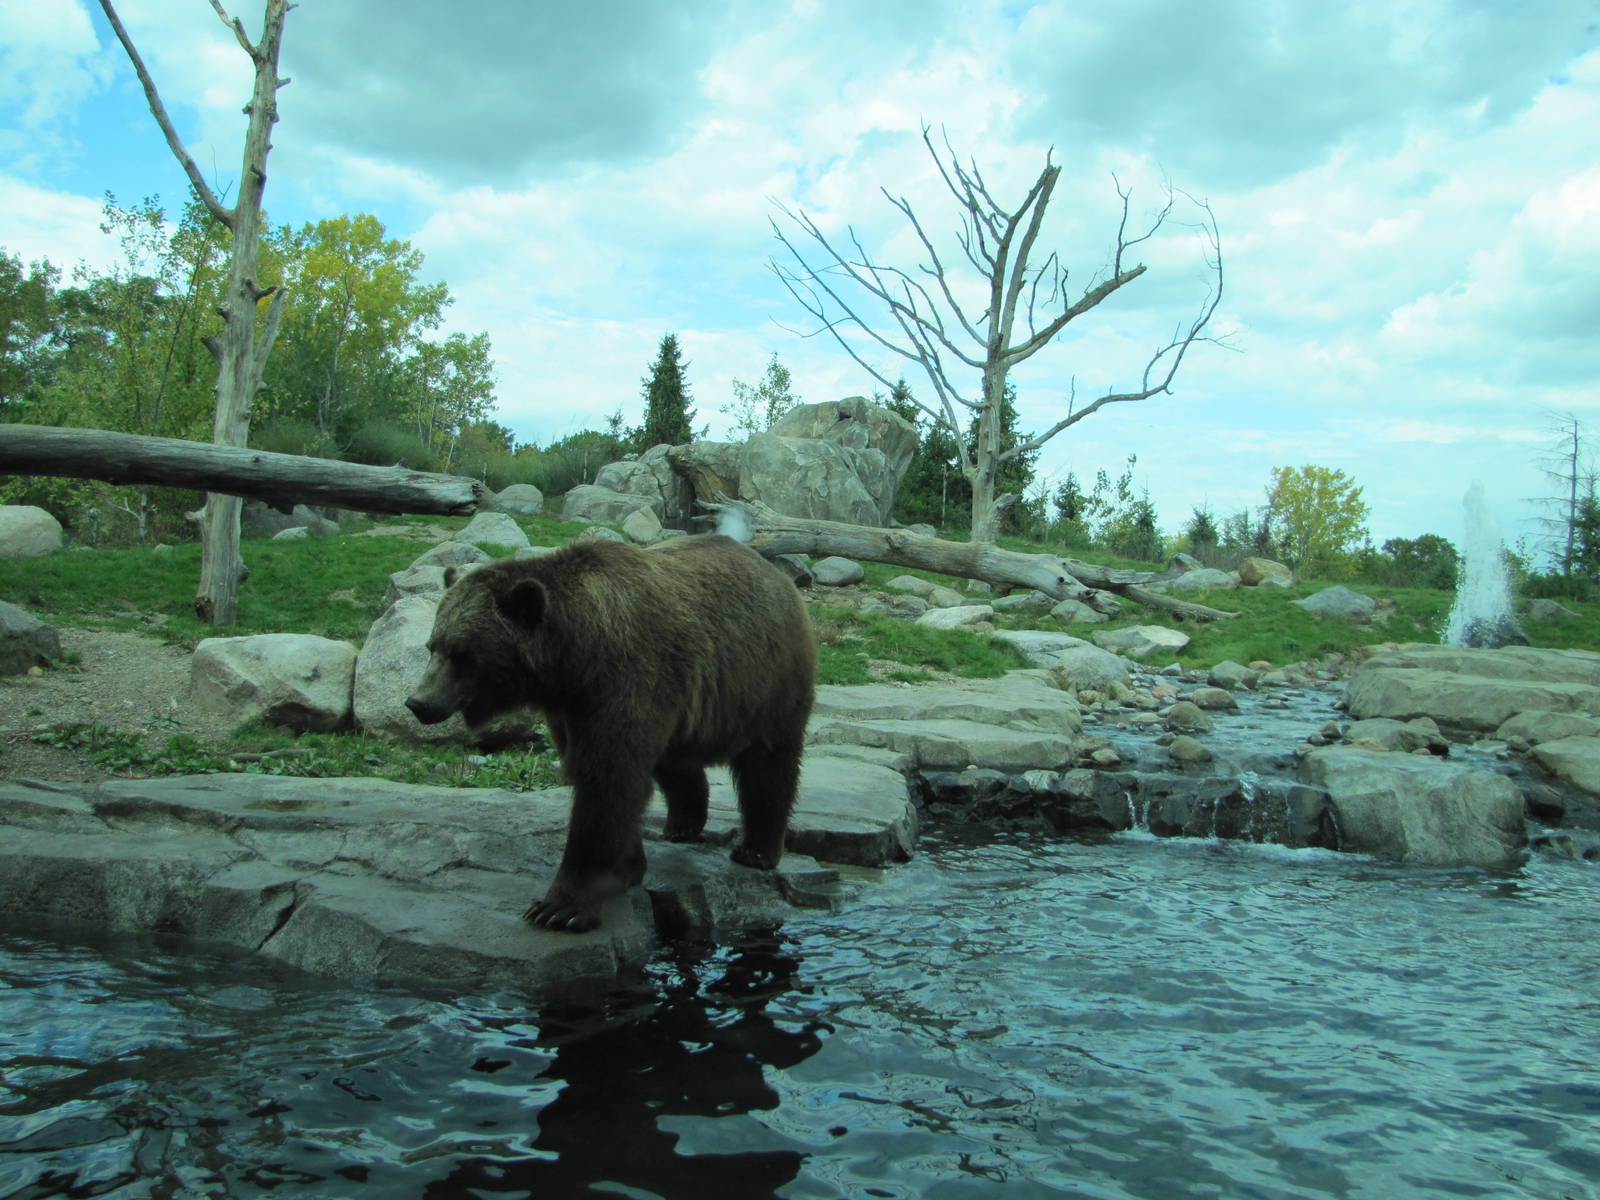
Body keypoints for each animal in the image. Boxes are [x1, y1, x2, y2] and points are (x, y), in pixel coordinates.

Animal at [404, 533, 816, 934]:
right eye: (432, 645)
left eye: (462, 654)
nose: (419, 702)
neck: (574, 657)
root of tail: (776, 574)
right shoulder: (572, 709)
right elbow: (605, 776)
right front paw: (626, 867)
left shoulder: (627, 679)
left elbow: (607, 782)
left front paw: (559, 908)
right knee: (675, 762)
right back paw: (682, 824)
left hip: (767, 682)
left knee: (769, 765)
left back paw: (756, 851)